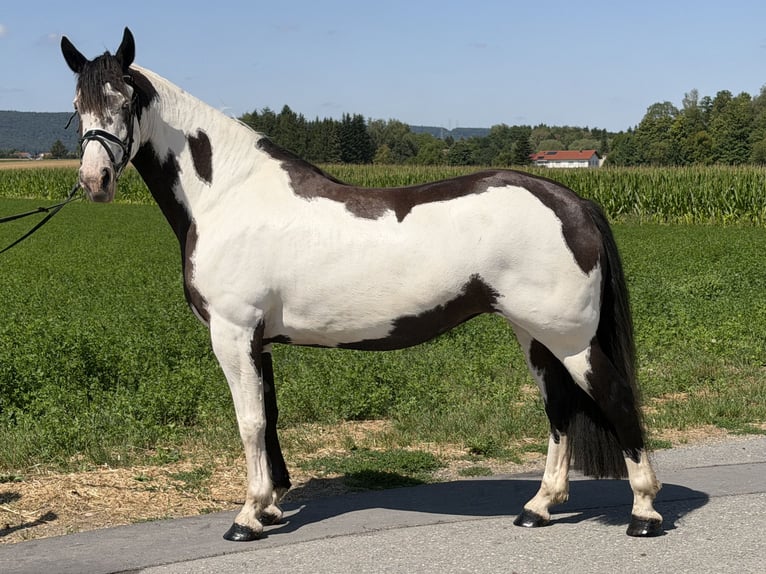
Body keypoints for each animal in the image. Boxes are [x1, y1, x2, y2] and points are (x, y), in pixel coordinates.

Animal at [60, 28, 663, 541]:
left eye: (126, 99)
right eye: (77, 106)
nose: (95, 181)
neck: (228, 195)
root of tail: (572, 200)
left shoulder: (232, 333)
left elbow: (249, 422)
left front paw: (248, 517)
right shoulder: (257, 340)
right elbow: (269, 418)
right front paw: (272, 506)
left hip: (570, 339)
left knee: (615, 398)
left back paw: (644, 513)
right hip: (534, 334)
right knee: (559, 409)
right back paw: (539, 507)